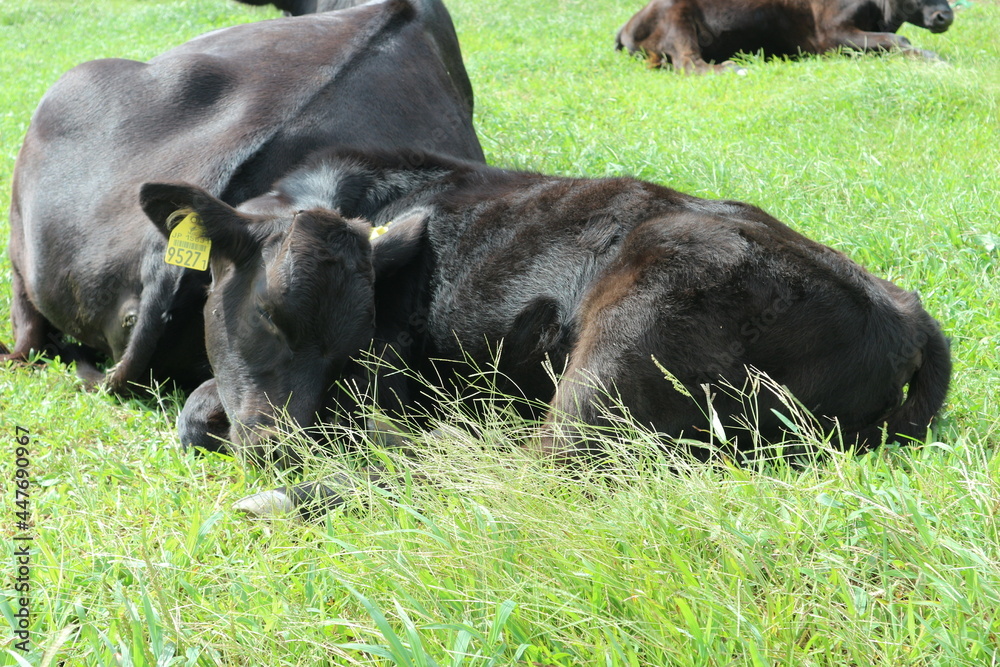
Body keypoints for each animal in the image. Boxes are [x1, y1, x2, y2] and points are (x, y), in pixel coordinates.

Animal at [139, 149, 951, 517]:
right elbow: (198, 407)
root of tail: (902, 307)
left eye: (350, 349)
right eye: (269, 314)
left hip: (626, 344)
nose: (282, 444)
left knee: (526, 473)